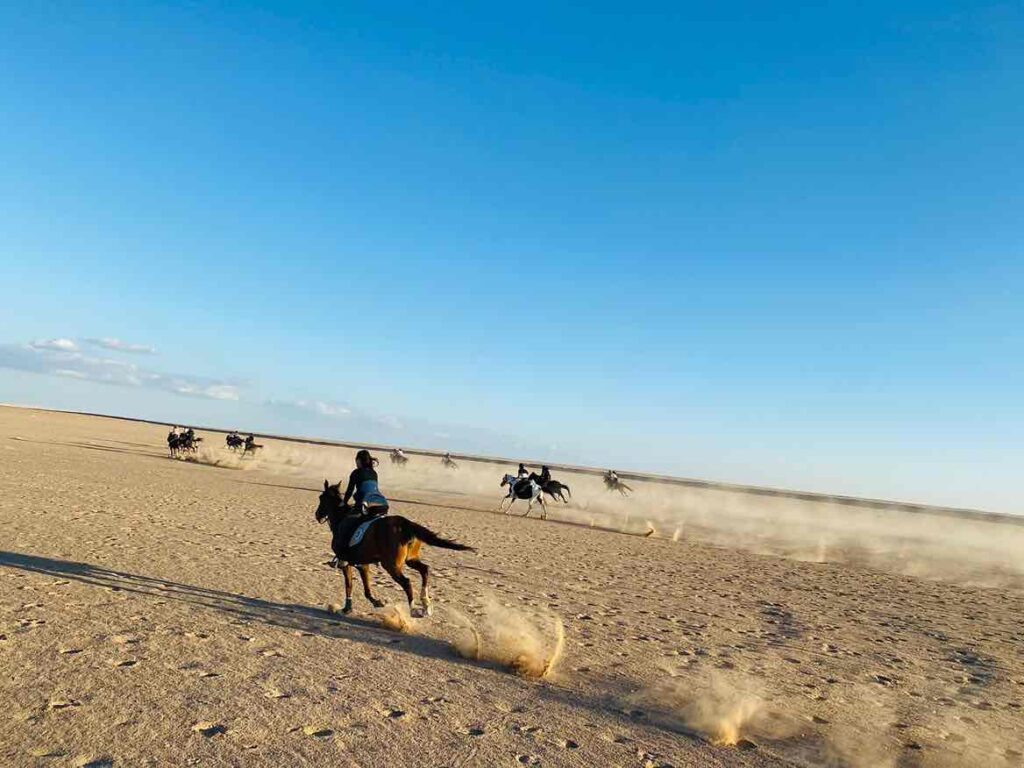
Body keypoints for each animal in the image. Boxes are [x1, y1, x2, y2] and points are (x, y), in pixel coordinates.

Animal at [313, 481, 473, 618]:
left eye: (321, 497)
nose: (317, 515)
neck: (341, 518)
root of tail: (405, 523)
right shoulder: (363, 565)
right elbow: (366, 589)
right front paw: (375, 603)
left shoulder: (347, 564)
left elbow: (349, 585)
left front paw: (347, 609)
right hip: (410, 559)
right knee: (425, 570)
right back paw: (426, 604)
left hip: (391, 565)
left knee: (407, 582)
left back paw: (413, 609)